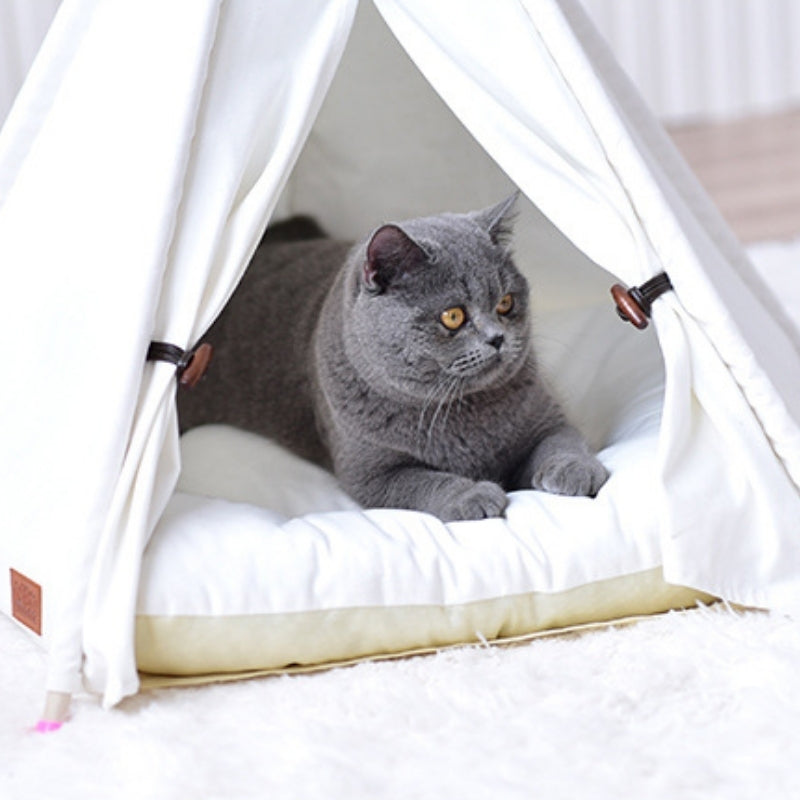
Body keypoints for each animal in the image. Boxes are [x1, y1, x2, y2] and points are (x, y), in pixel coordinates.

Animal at [180, 194, 608, 520]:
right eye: (453, 316)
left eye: (505, 303)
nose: (498, 338)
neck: (462, 413)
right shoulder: (373, 474)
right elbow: (424, 481)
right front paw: (470, 497)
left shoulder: (545, 418)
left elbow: (562, 440)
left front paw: (574, 471)